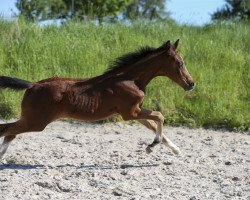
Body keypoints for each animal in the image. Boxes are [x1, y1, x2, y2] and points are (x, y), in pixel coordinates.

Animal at [0, 39, 195, 159]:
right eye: (180, 63)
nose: (191, 84)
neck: (130, 79)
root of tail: (32, 85)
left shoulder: (135, 111)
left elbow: (154, 124)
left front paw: (173, 149)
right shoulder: (130, 113)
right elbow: (159, 116)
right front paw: (152, 145)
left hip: (31, 120)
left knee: (10, 132)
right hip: (36, 122)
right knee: (7, 129)